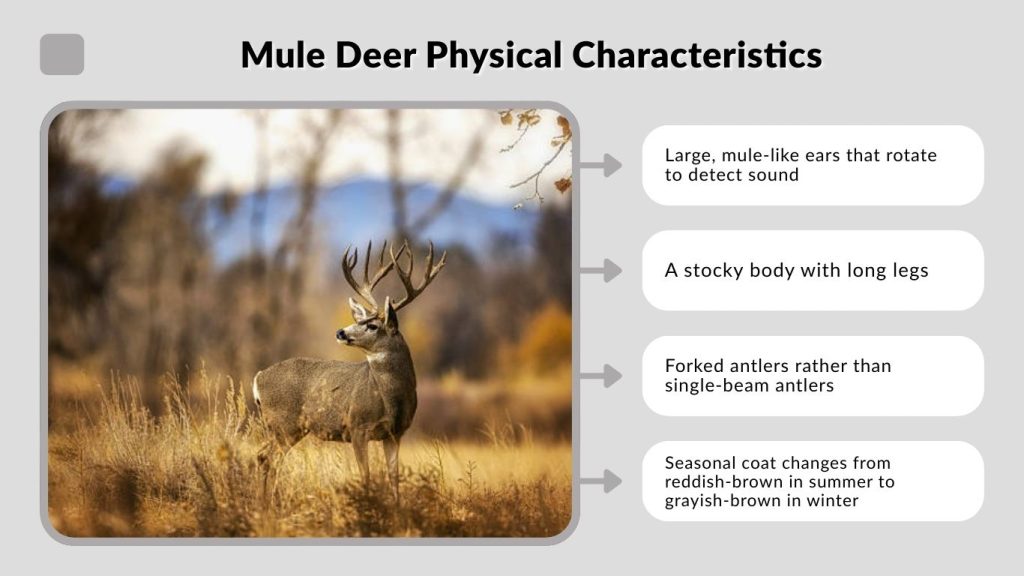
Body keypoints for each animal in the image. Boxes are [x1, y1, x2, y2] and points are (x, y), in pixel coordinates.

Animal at [252, 239, 446, 501]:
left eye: (372, 326)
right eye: (359, 321)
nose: (340, 332)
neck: (391, 398)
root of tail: (259, 377)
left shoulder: (395, 433)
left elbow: (394, 480)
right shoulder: (357, 427)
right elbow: (365, 477)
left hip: (288, 428)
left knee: (265, 457)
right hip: (284, 423)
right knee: (267, 458)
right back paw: (266, 503)